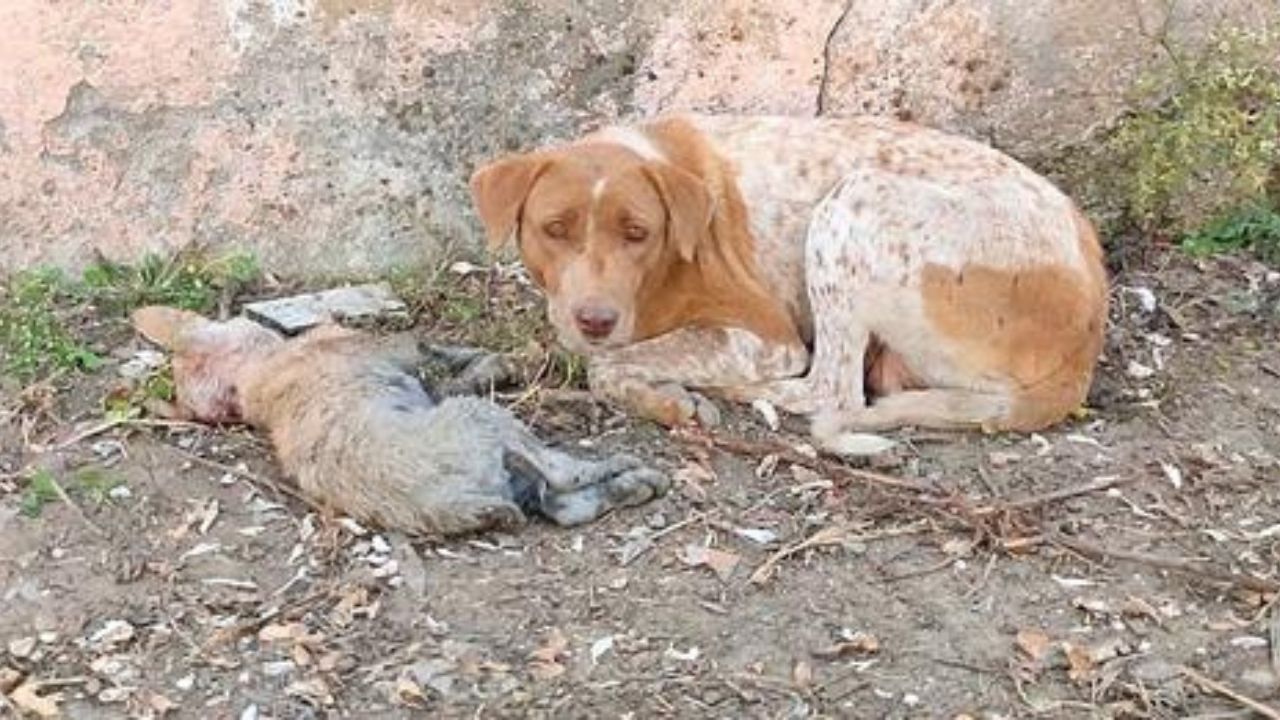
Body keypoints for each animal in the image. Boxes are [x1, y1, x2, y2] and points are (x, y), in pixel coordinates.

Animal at [129, 304, 670, 535]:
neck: (252, 379)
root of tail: (455, 505)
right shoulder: (384, 350)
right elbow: (426, 346)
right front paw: (497, 361)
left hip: (511, 477)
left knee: (565, 506)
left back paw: (634, 486)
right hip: (486, 426)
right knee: (563, 476)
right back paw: (629, 469)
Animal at [471, 113, 1111, 448]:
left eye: (637, 232)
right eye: (555, 229)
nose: (596, 319)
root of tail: (1085, 342)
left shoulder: (764, 337)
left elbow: (609, 365)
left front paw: (667, 398)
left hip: (851, 206)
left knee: (831, 389)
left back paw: (737, 393)